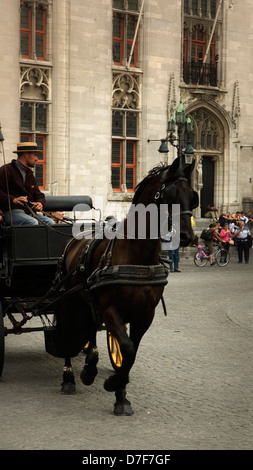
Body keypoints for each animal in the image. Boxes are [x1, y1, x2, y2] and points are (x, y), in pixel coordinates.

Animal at [52, 158, 198, 414]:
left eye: (193, 196)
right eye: (170, 195)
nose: (187, 235)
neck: (137, 256)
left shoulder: (145, 314)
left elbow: (131, 352)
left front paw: (120, 394)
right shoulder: (111, 310)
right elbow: (127, 348)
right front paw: (112, 383)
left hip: (88, 299)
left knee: (90, 326)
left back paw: (90, 367)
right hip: (68, 299)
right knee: (67, 331)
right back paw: (69, 377)